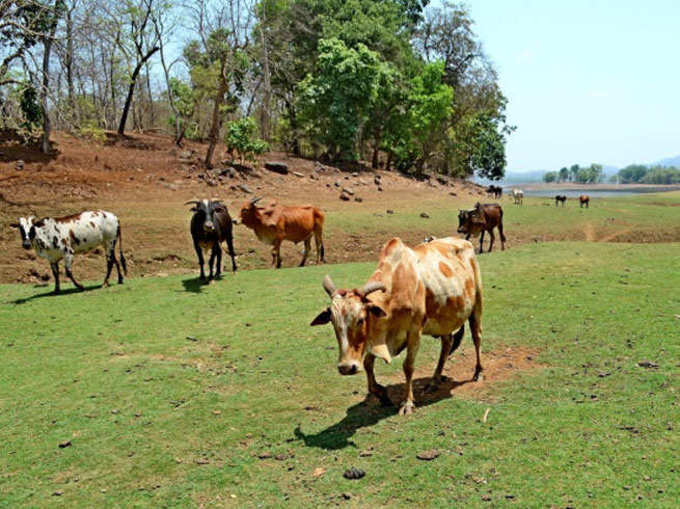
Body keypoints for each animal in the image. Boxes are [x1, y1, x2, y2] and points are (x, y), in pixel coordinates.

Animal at [312, 236, 484, 414]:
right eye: (333, 321)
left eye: (360, 319)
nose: (346, 367)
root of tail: (464, 241)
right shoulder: (379, 339)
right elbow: (367, 363)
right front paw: (382, 394)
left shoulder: (414, 331)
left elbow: (408, 366)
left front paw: (407, 403)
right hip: (444, 321)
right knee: (447, 344)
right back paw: (434, 381)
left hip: (477, 303)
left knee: (477, 337)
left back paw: (478, 372)